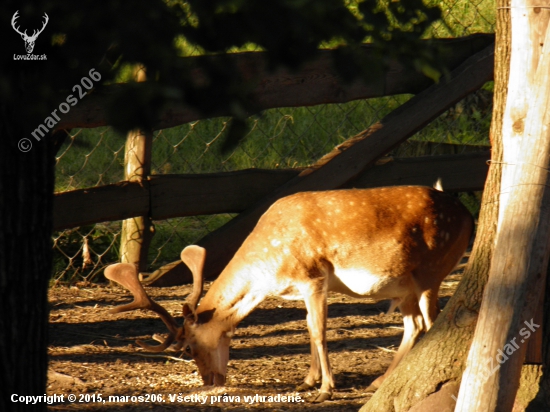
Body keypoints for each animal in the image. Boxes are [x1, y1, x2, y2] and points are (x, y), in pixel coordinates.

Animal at [106, 186, 474, 402]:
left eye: (190, 347)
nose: (210, 381)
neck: (268, 274)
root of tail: (469, 215)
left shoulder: (313, 277)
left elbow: (319, 331)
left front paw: (325, 389)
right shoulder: (299, 290)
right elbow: (307, 330)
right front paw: (307, 381)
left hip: (431, 269)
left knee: (431, 323)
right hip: (404, 286)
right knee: (414, 325)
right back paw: (378, 381)